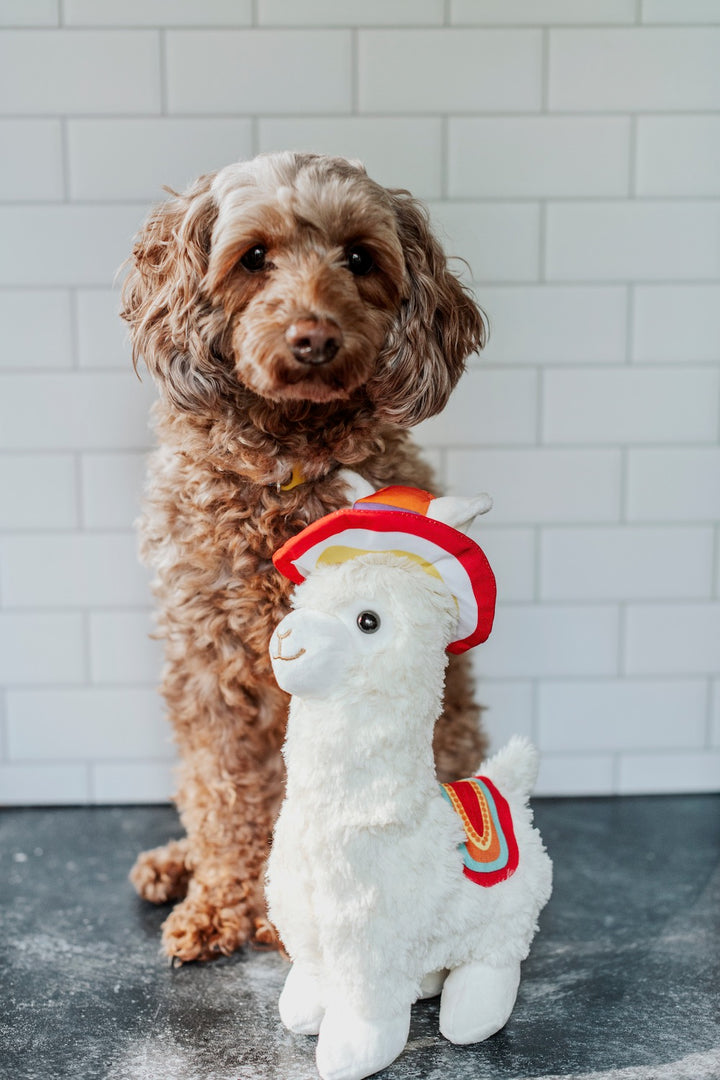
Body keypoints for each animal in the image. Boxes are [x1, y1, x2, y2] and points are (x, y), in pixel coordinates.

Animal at [120, 150, 487, 963]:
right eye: (254, 257)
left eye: (360, 258)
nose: (314, 338)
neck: (286, 460)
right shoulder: (208, 666)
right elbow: (222, 796)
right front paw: (218, 906)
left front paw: (290, 919)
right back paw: (178, 865)